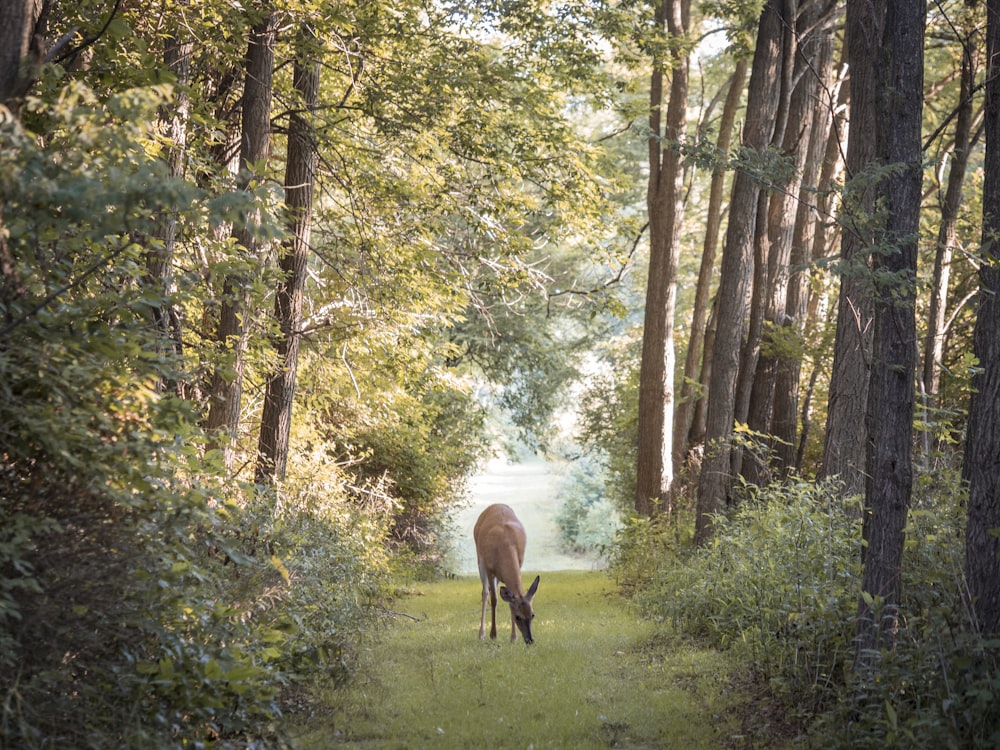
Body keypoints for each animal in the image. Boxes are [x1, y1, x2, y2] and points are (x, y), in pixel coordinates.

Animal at [474, 506, 540, 648]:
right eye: (517, 617)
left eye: (532, 615)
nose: (530, 640)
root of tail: (495, 504)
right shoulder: (489, 568)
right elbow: (494, 599)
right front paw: (493, 634)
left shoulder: (519, 562)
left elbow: (509, 602)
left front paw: (513, 637)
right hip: (480, 559)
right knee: (485, 592)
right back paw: (481, 633)